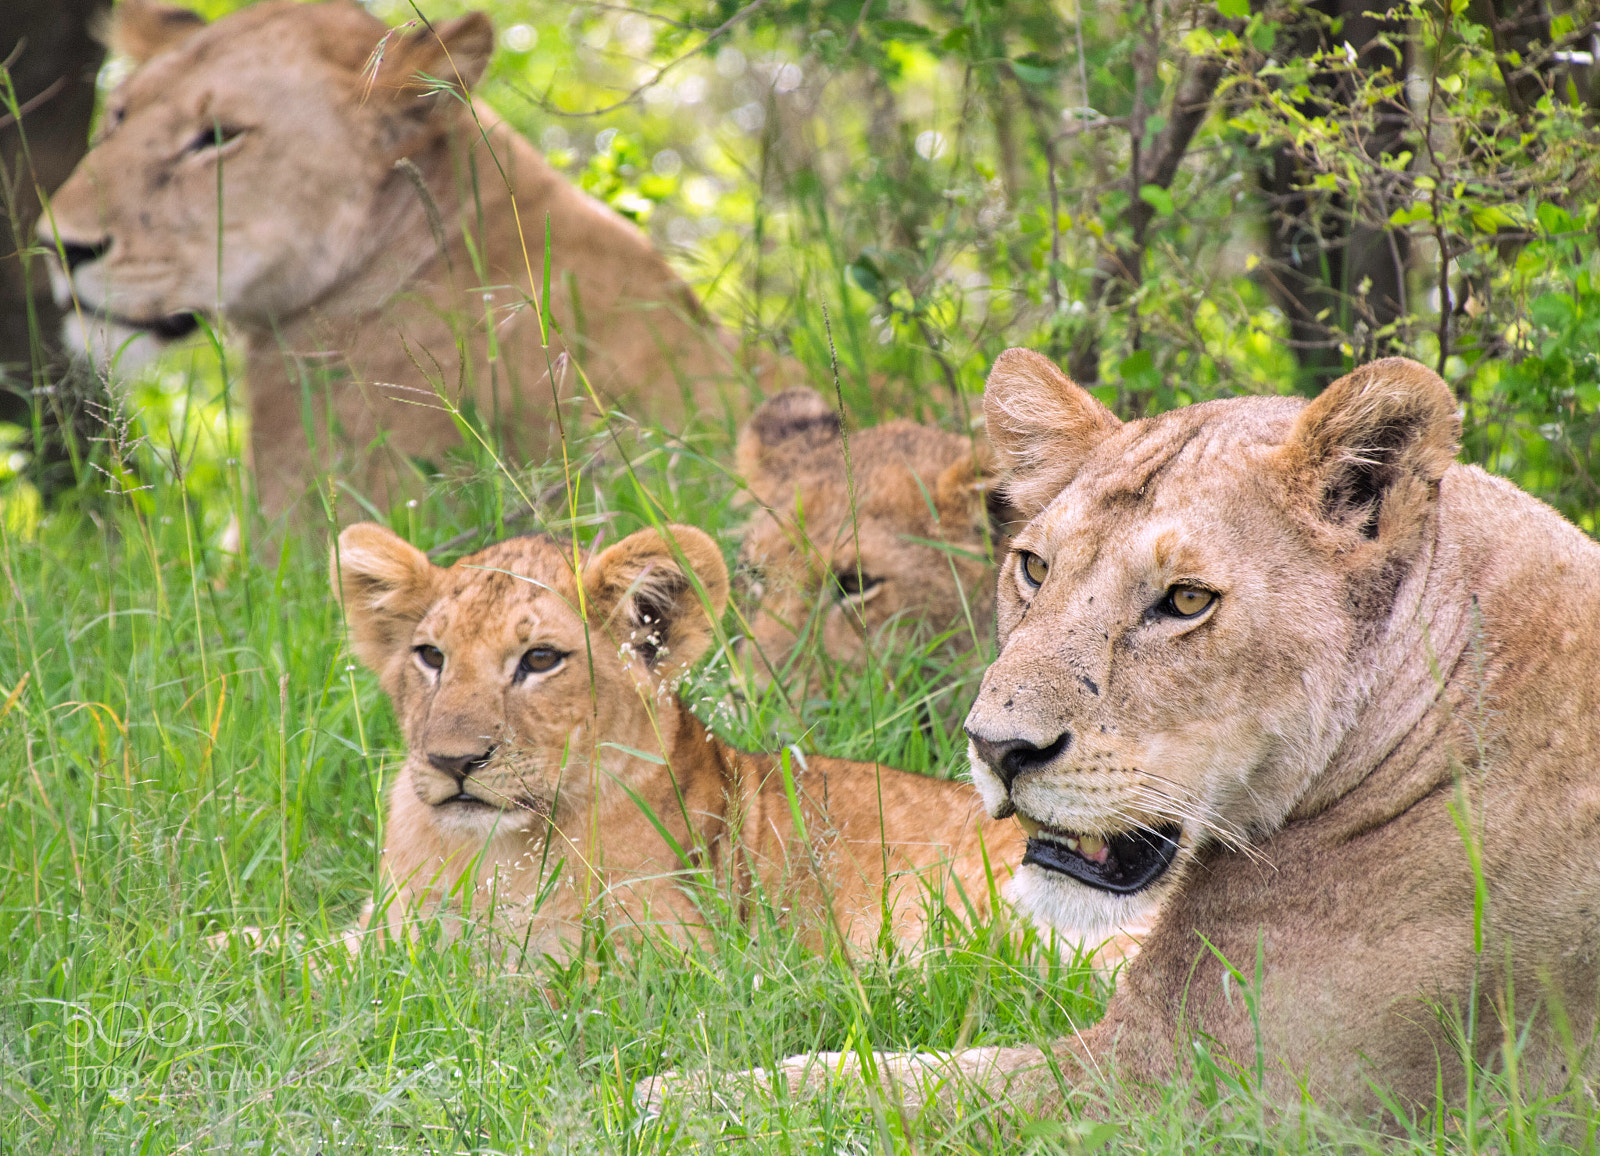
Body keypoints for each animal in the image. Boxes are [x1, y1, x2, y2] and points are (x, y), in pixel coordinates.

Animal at [333, 520, 1040, 957]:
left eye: (539, 660)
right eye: (431, 656)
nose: (453, 761)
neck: (482, 856)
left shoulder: (669, 958)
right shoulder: (378, 926)